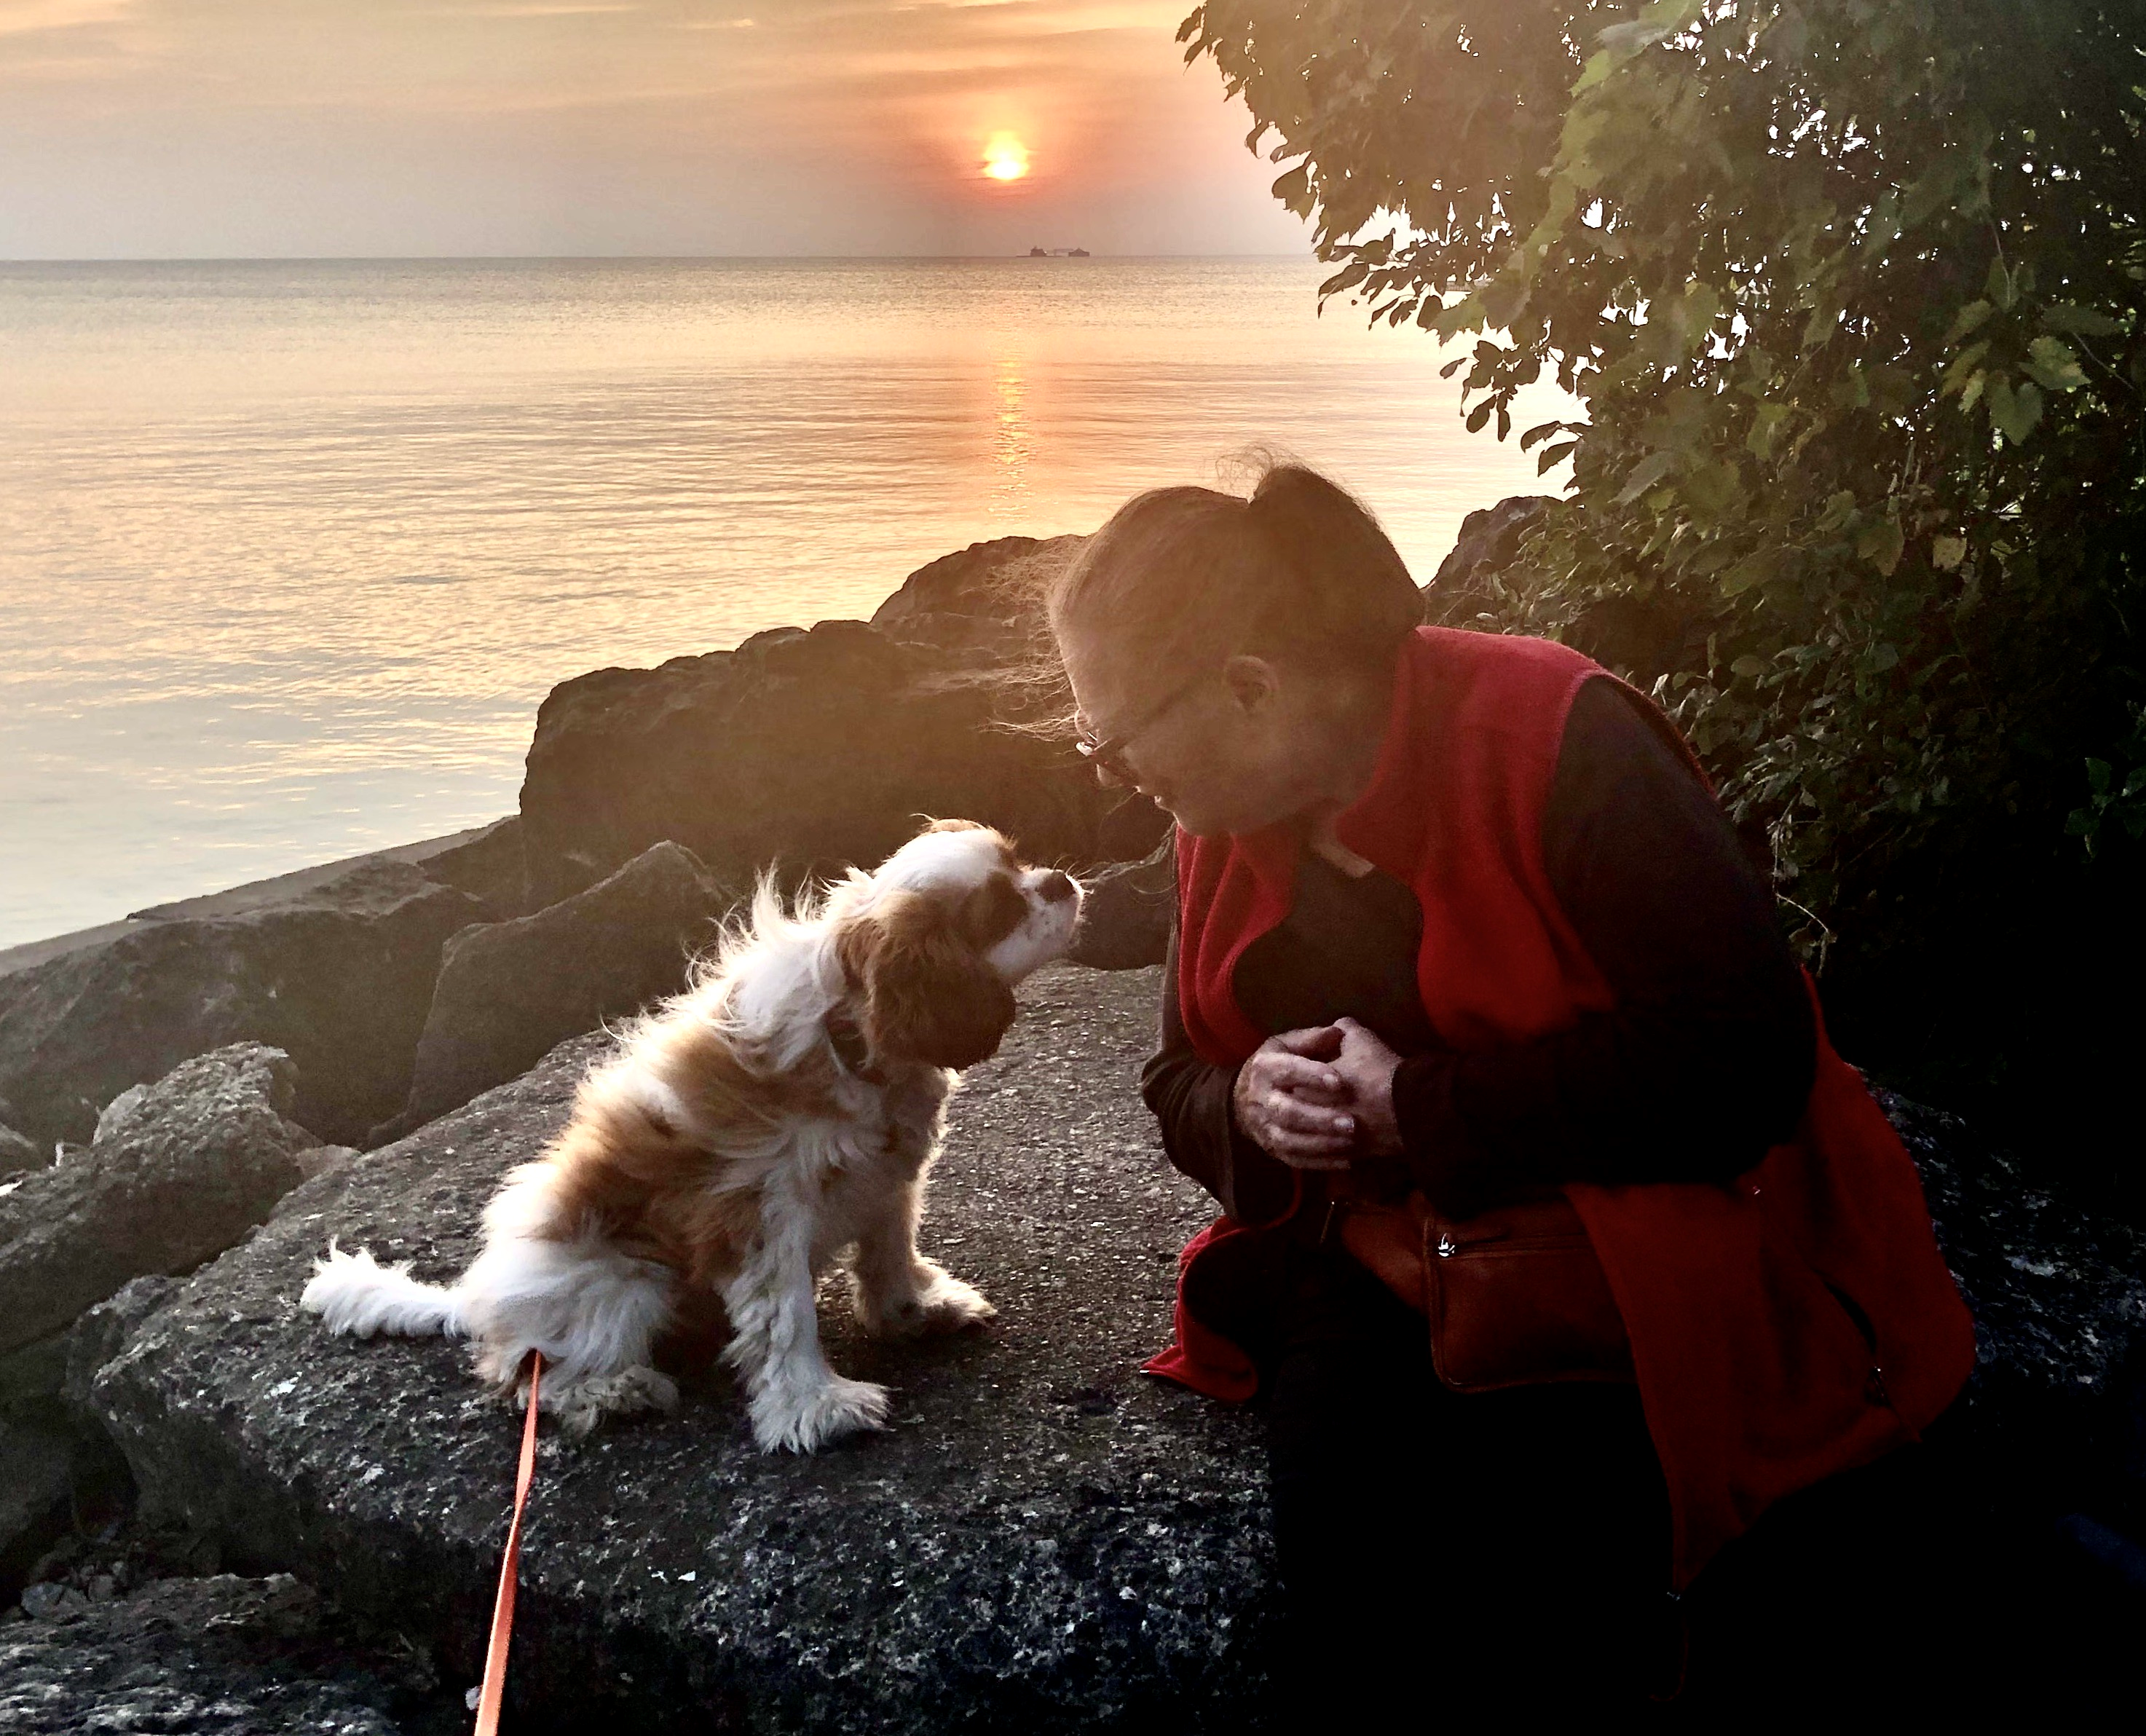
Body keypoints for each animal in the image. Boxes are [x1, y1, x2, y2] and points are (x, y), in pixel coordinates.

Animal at [293, 819, 1081, 1442]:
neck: (849, 1032)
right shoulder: (758, 1209)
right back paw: (615, 1388)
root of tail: (477, 1297)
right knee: (527, 1376)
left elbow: (889, 1249)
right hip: (626, 1283)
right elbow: (786, 1315)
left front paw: (914, 1310)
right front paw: (815, 1405)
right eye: (1002, 908)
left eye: (1019, 858)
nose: (1058, 880)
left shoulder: (889, 1176)